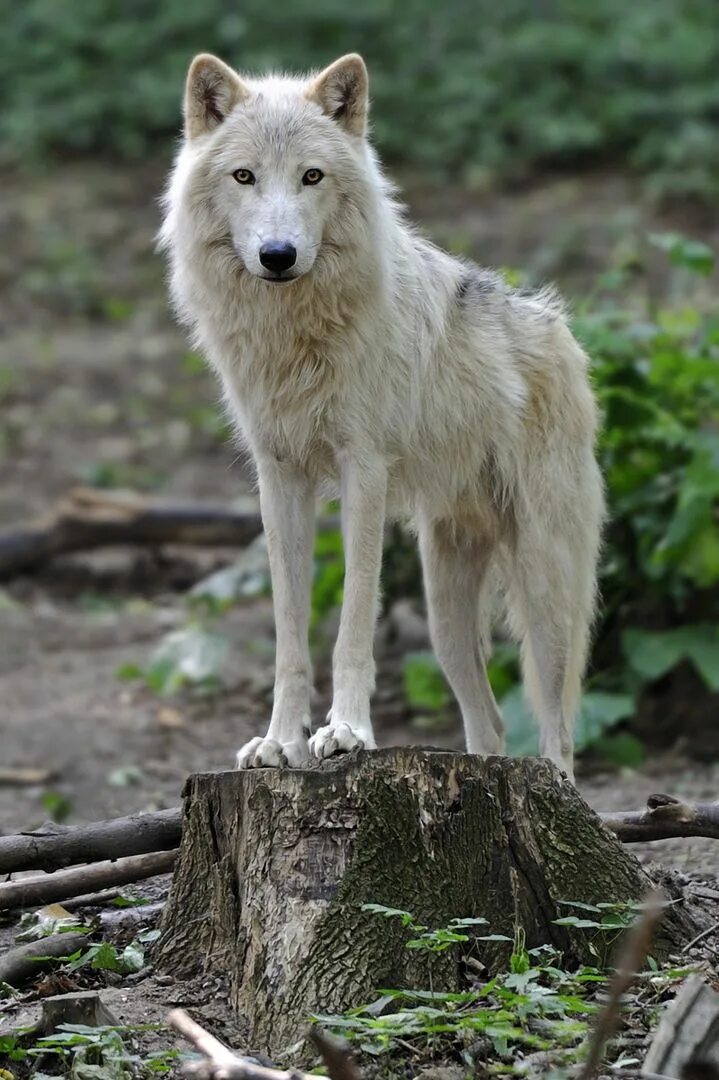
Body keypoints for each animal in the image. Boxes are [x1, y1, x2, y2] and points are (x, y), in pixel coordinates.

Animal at [159, 50, 600, 781]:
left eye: (311, 176)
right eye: (244, 176)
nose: (278, 255)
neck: (295, 336)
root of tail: (562, 332)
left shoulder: (361, 469)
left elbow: (352, 624)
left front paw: (346, 733)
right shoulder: (279, 478)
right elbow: (288, 635)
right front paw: (279, 743)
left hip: (545, 590)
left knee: (557, 727)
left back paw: (560, 789)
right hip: (445, 613)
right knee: (491, 723)